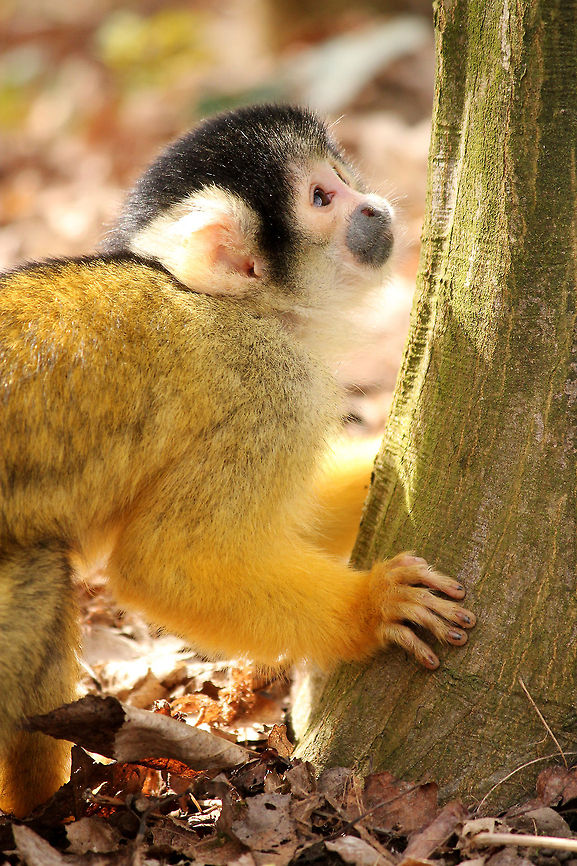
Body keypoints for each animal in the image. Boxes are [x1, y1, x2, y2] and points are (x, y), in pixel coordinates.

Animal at [0, 104, 475, 816]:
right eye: (321, 198)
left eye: (340, 178)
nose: (372, 208)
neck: (229, 306)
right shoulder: (268, 391)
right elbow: (169, 561)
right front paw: (373, 606)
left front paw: (373, 466)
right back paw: (46, 811)